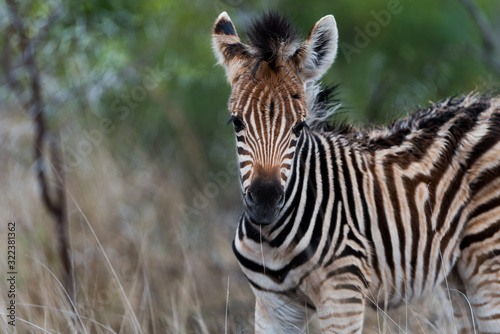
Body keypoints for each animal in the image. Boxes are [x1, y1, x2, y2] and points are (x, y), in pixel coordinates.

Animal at [213, 11, 500, 334]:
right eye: (236, 122)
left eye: (299, 127)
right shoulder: (271, 305)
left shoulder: (342, 295)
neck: (273, 240)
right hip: (456, 273)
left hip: (487, 260)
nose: (264, 202)